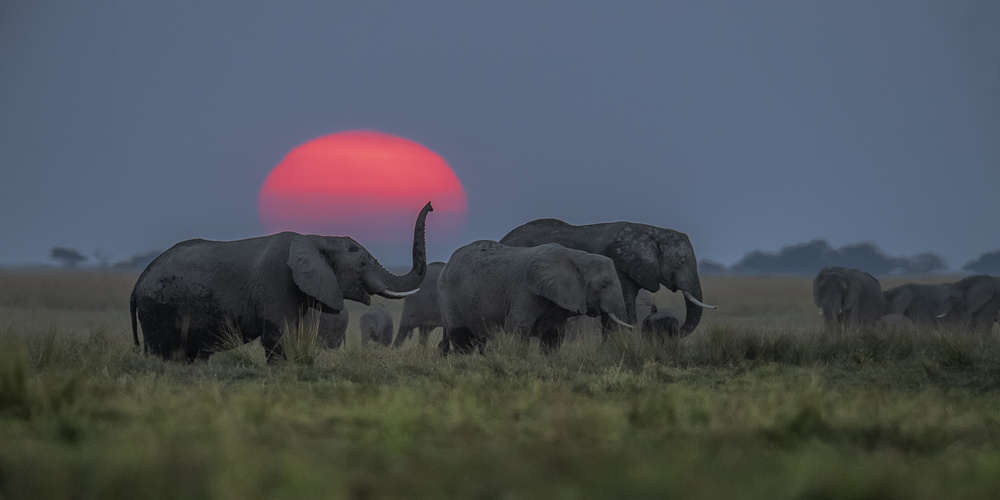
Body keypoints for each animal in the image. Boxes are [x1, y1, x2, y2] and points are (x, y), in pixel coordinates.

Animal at [128, 203, 430, 364]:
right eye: (364, 264)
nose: (430, 205)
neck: (317, 238)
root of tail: (139, 281)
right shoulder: (277, 285)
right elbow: (278, 336)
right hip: (159, 308)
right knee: (163, 351)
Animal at [440, 240, 632, 354]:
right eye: (604, 285)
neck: (575, 255)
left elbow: (554, 335)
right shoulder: (525, 292)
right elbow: (518, 327)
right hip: (448, 295)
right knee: (461, 336)